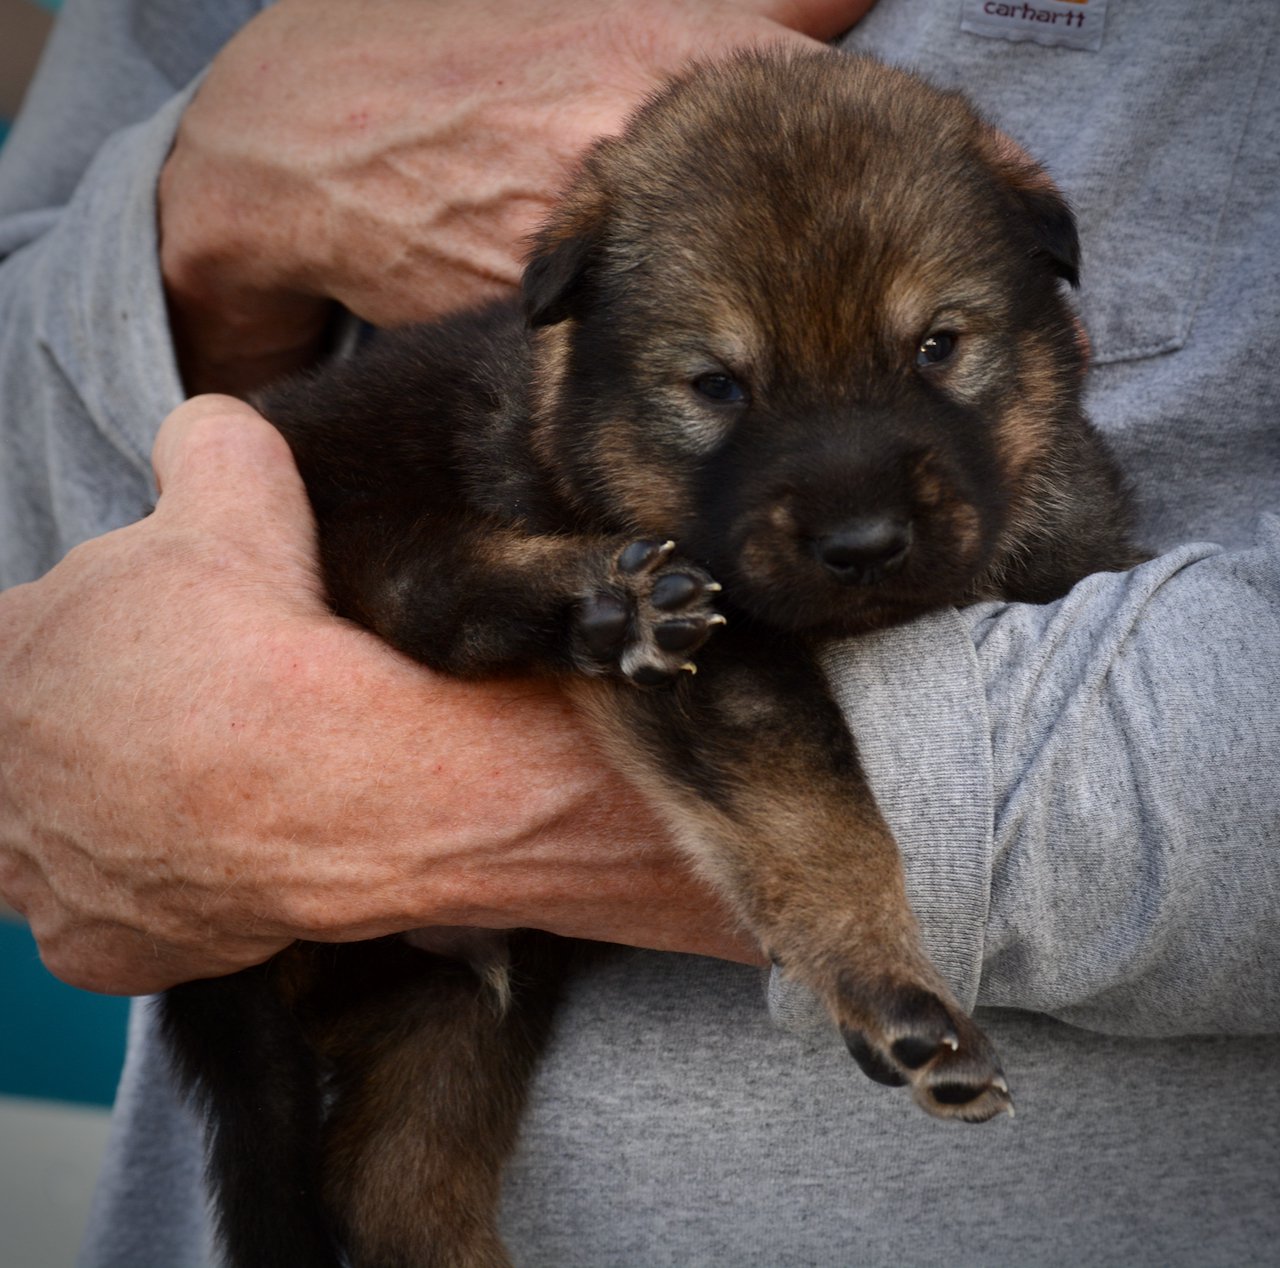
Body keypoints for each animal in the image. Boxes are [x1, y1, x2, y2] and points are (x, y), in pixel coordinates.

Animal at [162, 49, 1141, 1268]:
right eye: (717, 384)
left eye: (936, 347)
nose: (863, 544)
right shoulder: (726, 668)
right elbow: (818, 805)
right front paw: (887, 980)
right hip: (352, 506)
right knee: (421, 587)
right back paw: (598, 601)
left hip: (459, 997)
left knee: (394, 1183)